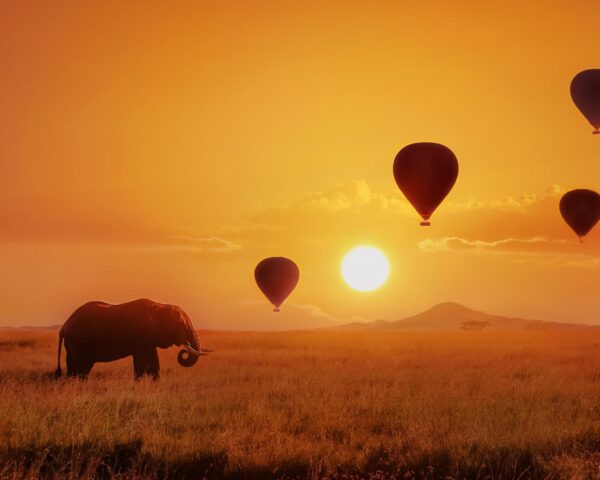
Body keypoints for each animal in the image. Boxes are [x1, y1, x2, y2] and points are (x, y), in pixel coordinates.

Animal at [55, 296, 211, 378]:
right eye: (181, 325)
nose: (184, 350)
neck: (161, 307)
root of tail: (63, 327)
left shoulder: (148, 340)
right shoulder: (142, 337)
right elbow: (145, 361)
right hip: (77, 343)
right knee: (78, 367)